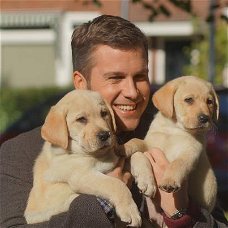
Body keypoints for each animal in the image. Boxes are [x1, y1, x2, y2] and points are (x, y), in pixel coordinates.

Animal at [24, 89, 154, 226]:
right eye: (81, 119)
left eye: (104, 113)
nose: (105, 135)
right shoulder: (82, 176)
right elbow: (116, 184)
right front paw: (130, 210)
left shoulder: (116, 157)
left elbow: (138, 155)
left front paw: (147, 181)